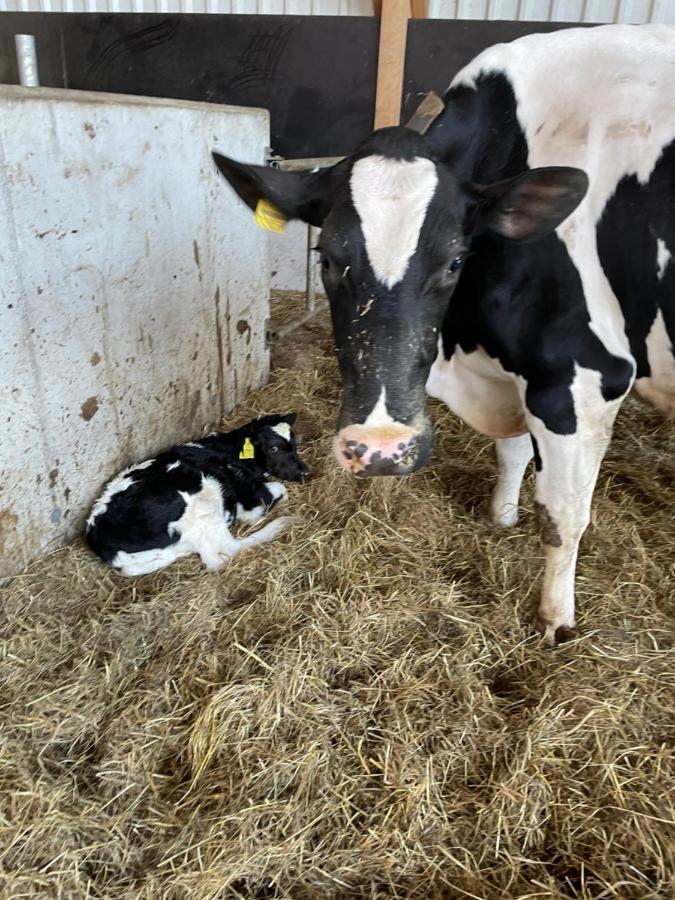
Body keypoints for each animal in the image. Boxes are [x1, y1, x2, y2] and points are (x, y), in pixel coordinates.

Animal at [86, 414, 308, 576]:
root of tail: (100, 541)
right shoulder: (249, 497)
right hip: (204, 505)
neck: (226, 450)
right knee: (225, 553)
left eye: (295, 444)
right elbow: (279, 493)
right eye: (274, 448)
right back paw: (281, 524)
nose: (305, 472)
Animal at [213, 24, 675, 644]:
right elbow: (512, 452)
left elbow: (563, 513)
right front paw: (500, 518)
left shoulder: (582, 377)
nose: (382, 449)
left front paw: (555, 619)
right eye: (326, 257)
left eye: (457, 260)